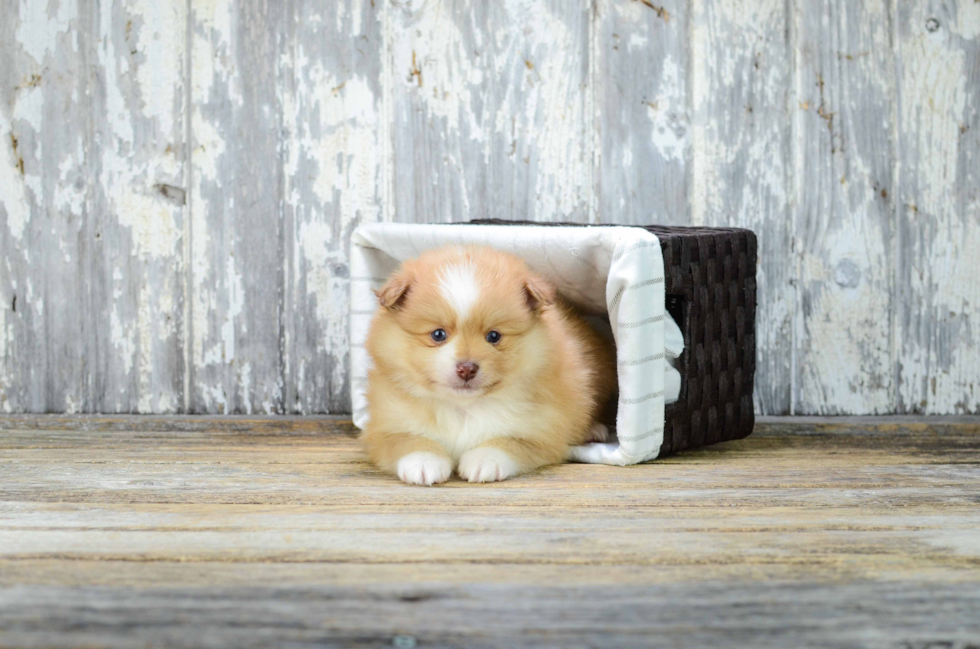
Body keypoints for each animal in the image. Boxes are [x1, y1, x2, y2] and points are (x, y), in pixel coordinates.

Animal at [364, 246, 616, 484]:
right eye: (438, 334)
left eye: (494, 336)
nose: (466, 368)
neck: (464, 409)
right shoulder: (384, 425)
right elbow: (406, 440)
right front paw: (424, 460)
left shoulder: (544, 431)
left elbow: (509, 442)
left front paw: (483, 460)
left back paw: (594, 429)